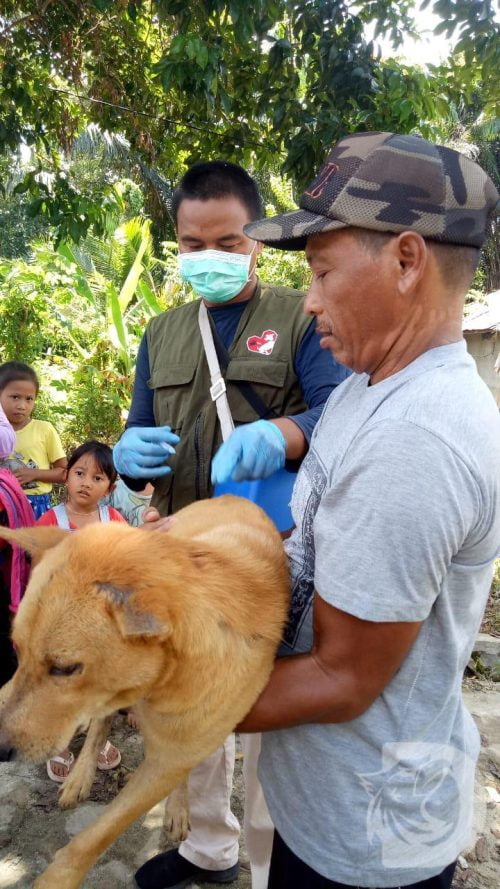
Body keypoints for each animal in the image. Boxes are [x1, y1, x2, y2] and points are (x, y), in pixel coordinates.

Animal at [0, 496, 290, 888]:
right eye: (17, 649)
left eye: (64, 668)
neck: (165, 676)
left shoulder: (171, 758)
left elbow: (95, 838)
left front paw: (56, 879)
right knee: (100, 723)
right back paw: (80, 774)